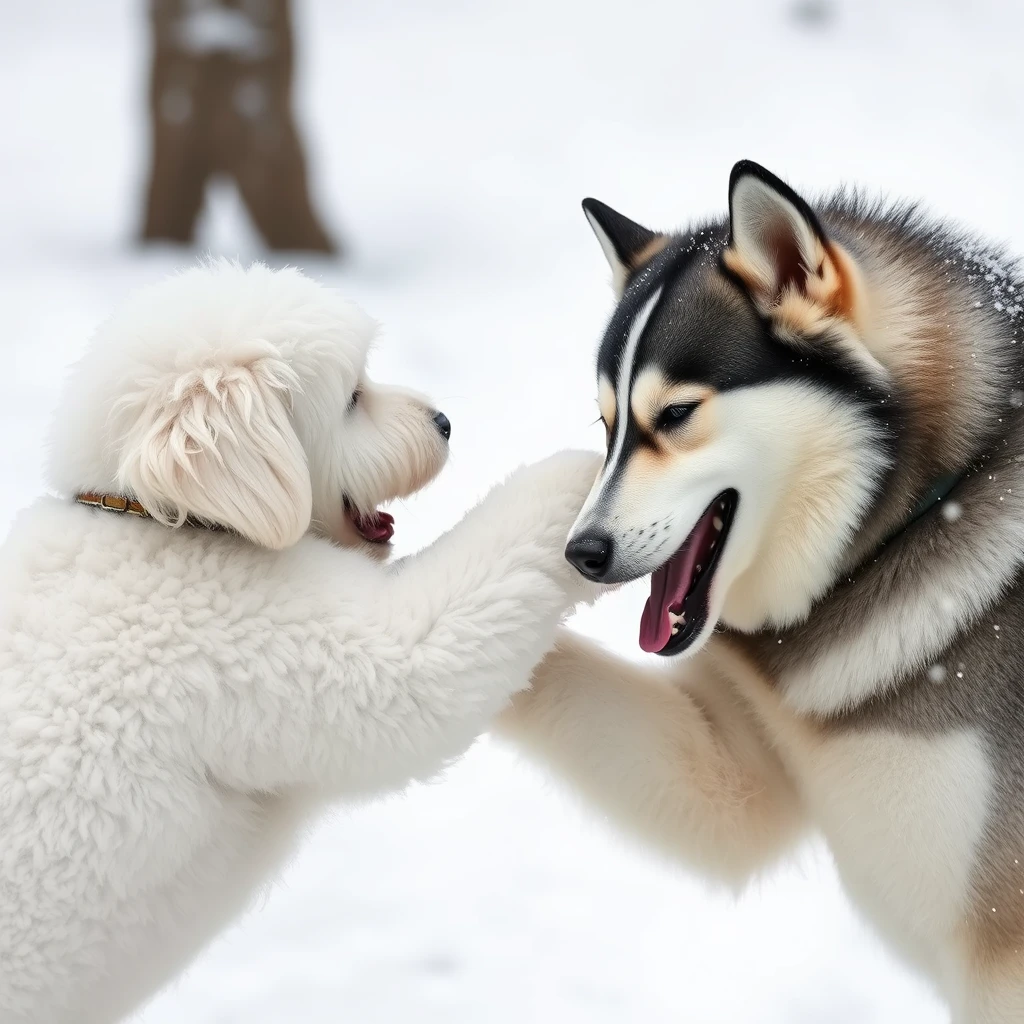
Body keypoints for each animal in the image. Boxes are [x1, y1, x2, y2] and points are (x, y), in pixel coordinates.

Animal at [0, 264, 598, 1024]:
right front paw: (593, 470)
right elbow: (423, 671)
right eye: (350, 399)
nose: (443, 423)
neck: (154, 519)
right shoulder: (267, 649)